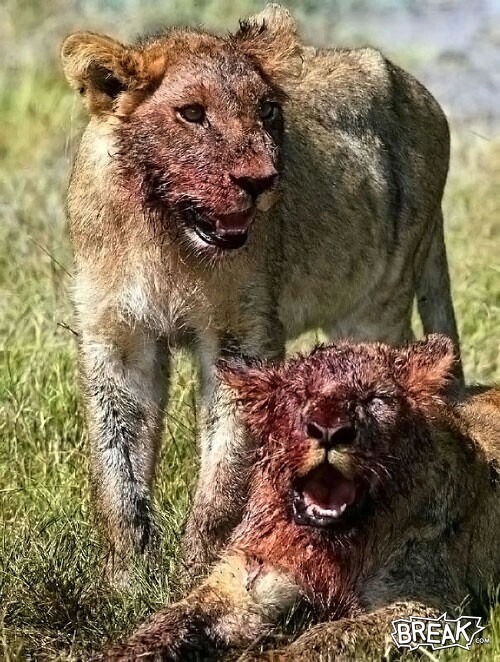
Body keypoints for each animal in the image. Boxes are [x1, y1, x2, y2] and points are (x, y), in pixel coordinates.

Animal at [60, 4, 462, 578]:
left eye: (268, 109)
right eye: (192, 113)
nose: (261, 180)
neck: (166, 239)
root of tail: (421, 92)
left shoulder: (242, 334)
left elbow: (225, 471)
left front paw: (199, 567)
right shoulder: (118, 337)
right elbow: (118, 462)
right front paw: (127, 576)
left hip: (380, 302)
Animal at [104, 335, 500, 660]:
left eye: (375, 399)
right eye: (299, 396)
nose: (328, 431)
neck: (329, 544)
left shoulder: (430, 605)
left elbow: (327, 638)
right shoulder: (245, 585)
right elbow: (169, 620)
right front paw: (119, 652)